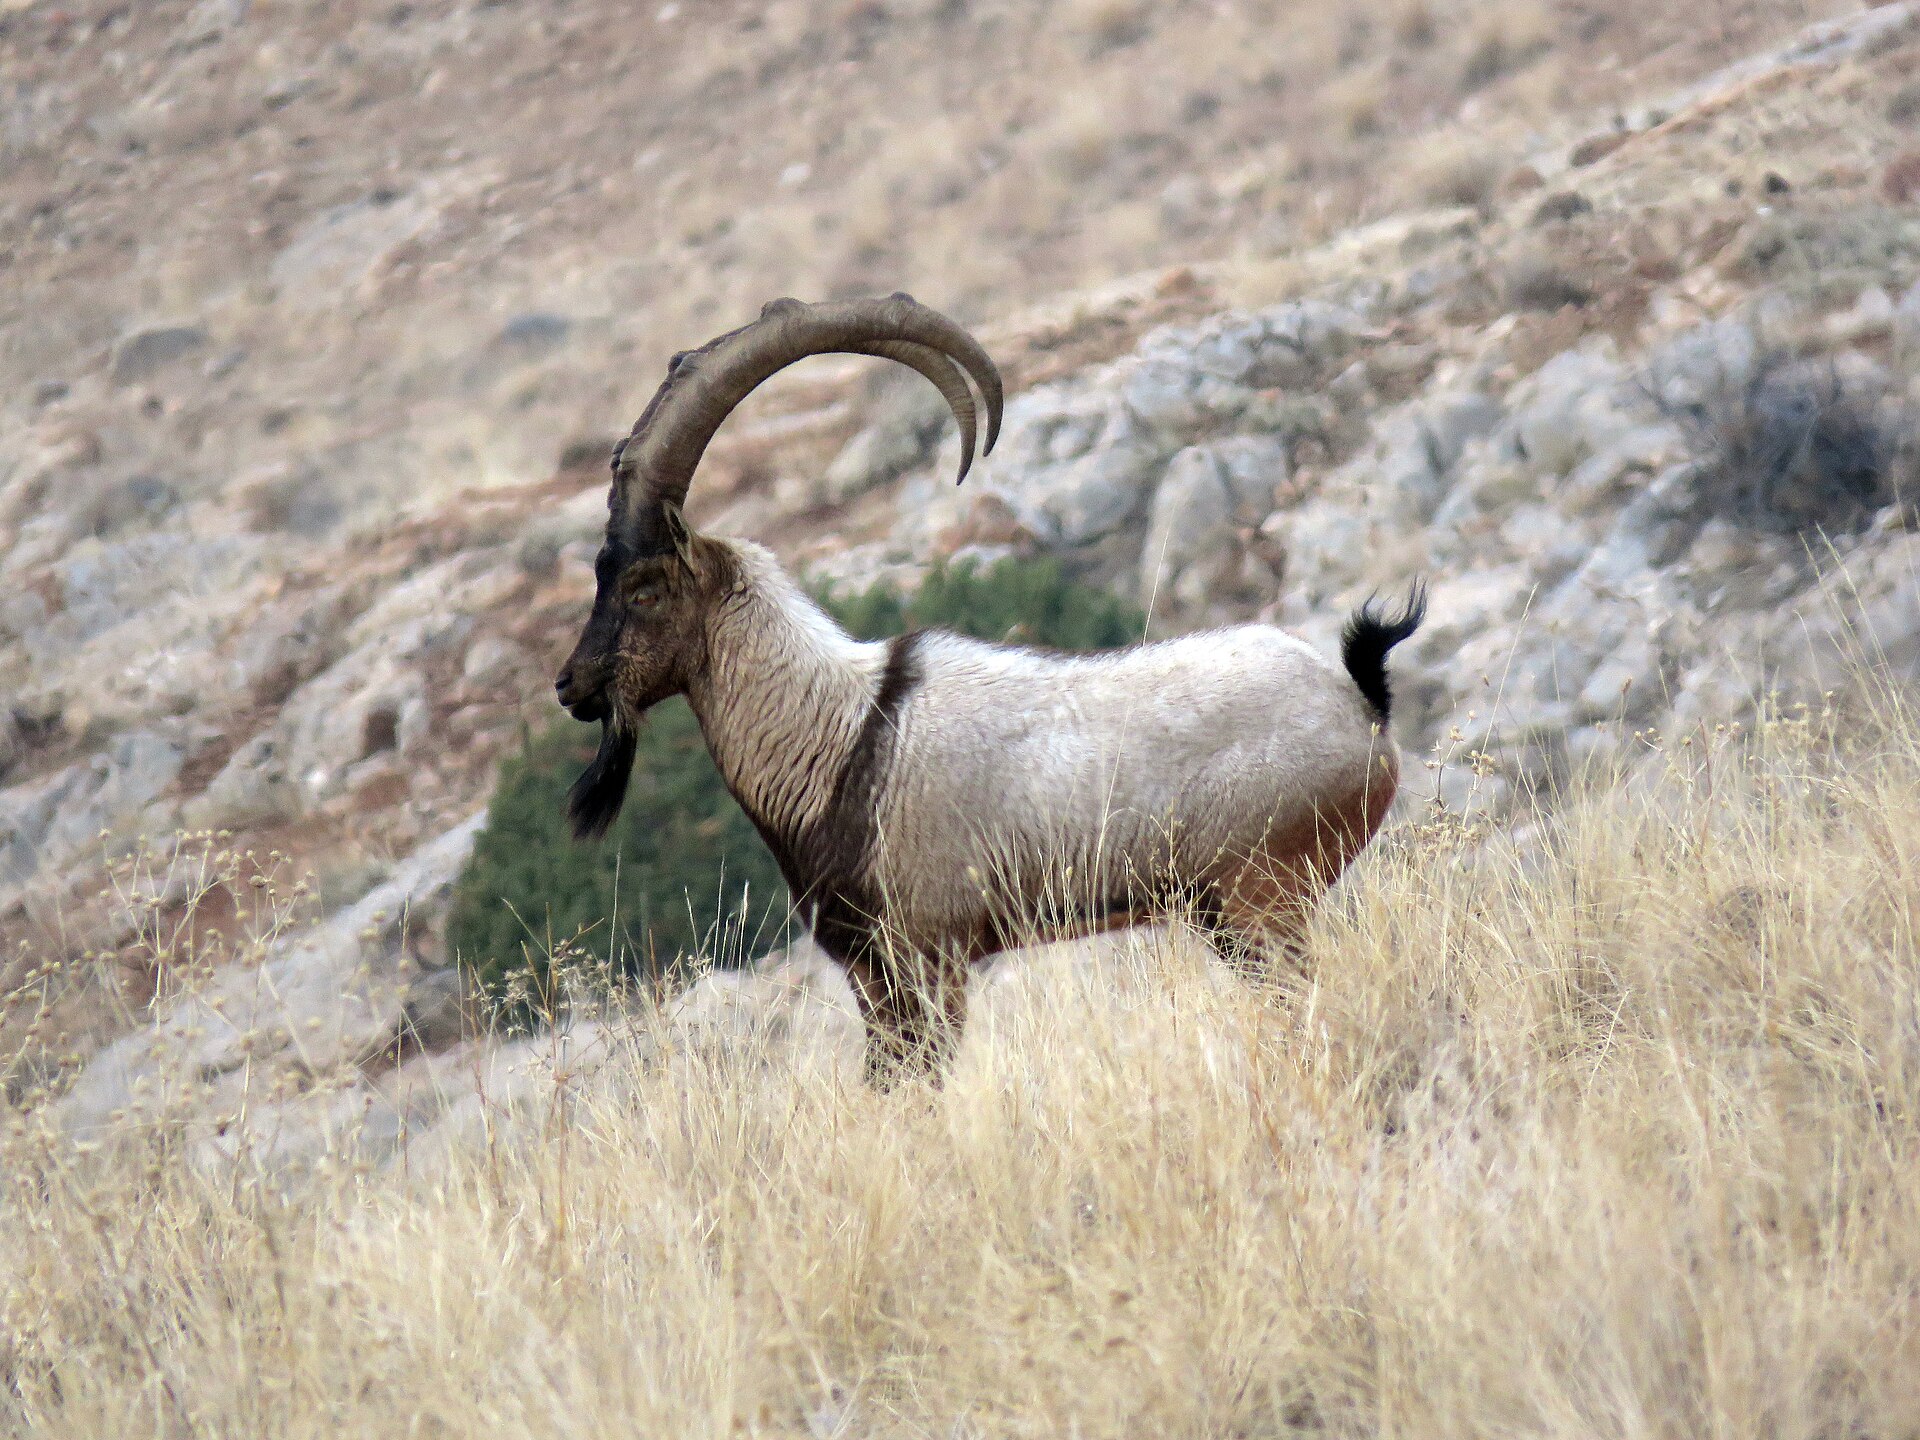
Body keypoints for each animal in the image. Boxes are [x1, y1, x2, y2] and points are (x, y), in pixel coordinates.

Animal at [555, 295, 1425, 1074]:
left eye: (643, 588)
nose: (572, 686)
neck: (838, 737)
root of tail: (1359, 704)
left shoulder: (925, 958)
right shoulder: (877, 976)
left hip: (1263, 896)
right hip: (1228, 914)